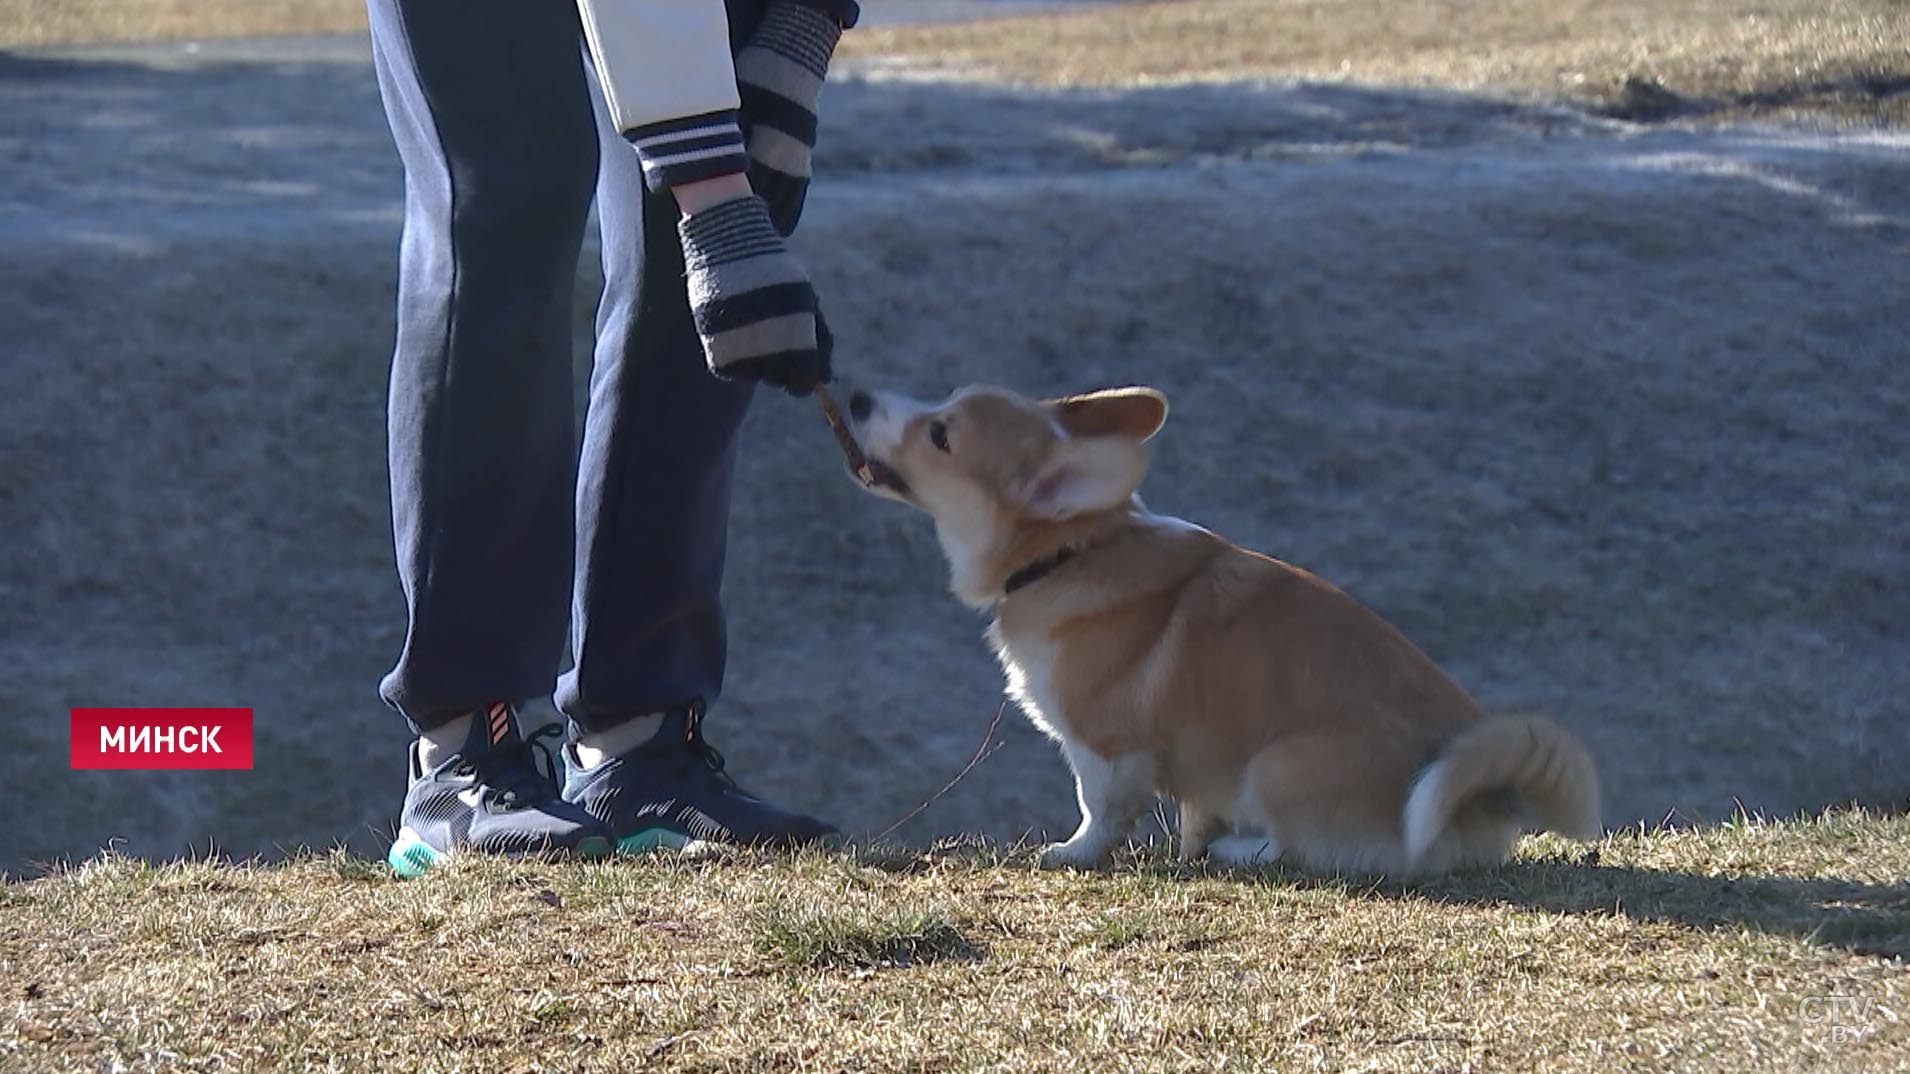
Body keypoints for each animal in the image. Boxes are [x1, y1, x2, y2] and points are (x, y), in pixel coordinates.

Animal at [844, 380, 1604, 875]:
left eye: (940, 433)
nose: (853, 397)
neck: (1071, 551)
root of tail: (1484, 806)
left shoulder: (1105, 745)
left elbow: (1097, 808)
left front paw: (1073, 853)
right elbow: (1188, 810)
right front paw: (1183, 847)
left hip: (1277, 765)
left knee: (1304, 849)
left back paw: (1241, 850)